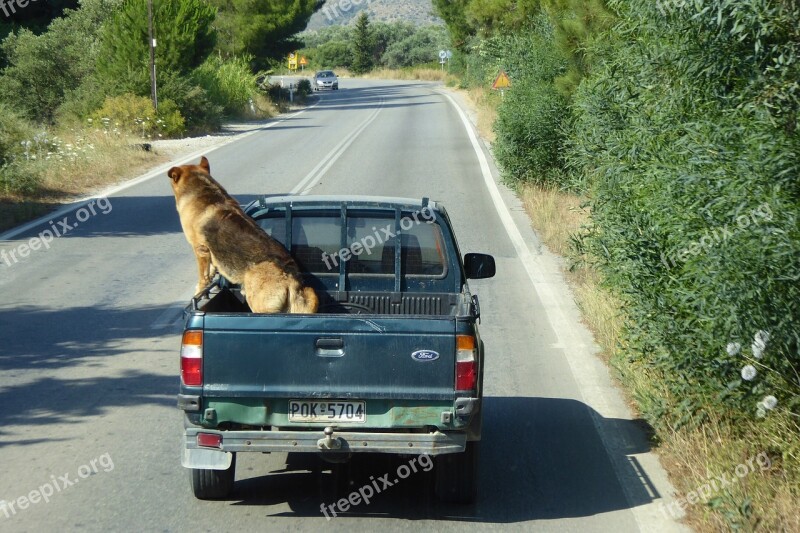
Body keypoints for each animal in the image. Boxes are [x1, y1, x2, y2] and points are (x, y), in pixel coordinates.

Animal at [169, 156, 318, 314]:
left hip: (259, 305)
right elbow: (211, 271)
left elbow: (203, 277)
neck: (203, 188)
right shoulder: (209, 253)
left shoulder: (200, 250)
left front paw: (199, 291)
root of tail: (290, 279)